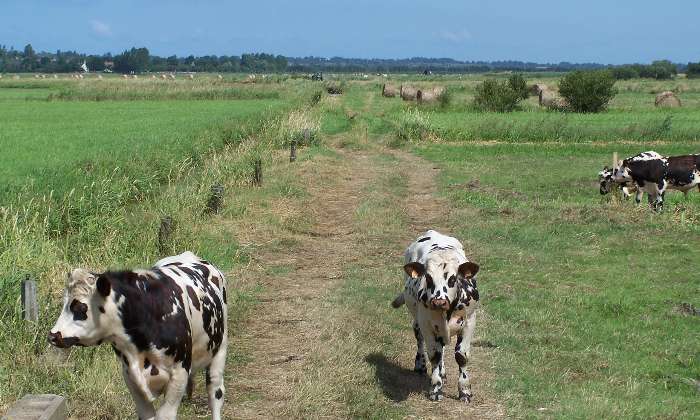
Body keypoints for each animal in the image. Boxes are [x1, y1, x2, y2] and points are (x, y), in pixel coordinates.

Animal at [48, 251, 228, 420]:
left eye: (80, 307)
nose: (52, 336)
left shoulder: (179, 373)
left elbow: (165, 415)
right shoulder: (130, 376)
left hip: (220, 350)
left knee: (215, 393)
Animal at [391, 230, 480, 403]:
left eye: (453, 278)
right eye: (428, 277)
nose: (439, 301)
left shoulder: (469, 322)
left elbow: (461, 356)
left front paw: (465, 391)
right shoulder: (427, 324)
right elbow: (434, 355)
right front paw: (436, 388)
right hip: (418, 322)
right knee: (421, 340)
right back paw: (421, 365)